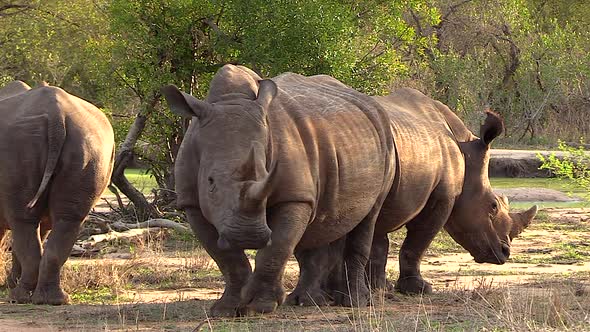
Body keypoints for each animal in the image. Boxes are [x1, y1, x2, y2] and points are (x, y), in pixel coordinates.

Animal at [0, 81, 115, 304]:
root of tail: (57, 116)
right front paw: (9, 282)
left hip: (15, 143)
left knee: (23, 221)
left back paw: (18, 298)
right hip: (90, 143)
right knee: (66, 220)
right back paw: (52, 300)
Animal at [162, 65, 398, 316]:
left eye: (268, 175)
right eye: (210, 182)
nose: (248, 235)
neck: (231, 100)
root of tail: (373, 105)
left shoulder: (294, 196)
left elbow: (278, 246)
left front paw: (260, 306)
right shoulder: (191, 202)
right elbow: (225, 257)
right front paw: (227, 309)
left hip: (387, 144)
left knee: (369, 217)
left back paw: (355, 302)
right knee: (325, 224)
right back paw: (309, 301)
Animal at [292, 88, 540, 306]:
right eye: (493, 206)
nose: (505, 253)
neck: (465, 151)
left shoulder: (388, 197)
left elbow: (379, 244)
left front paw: (379, 288)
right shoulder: (442, 196)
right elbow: (418, 241)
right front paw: (418, 289)